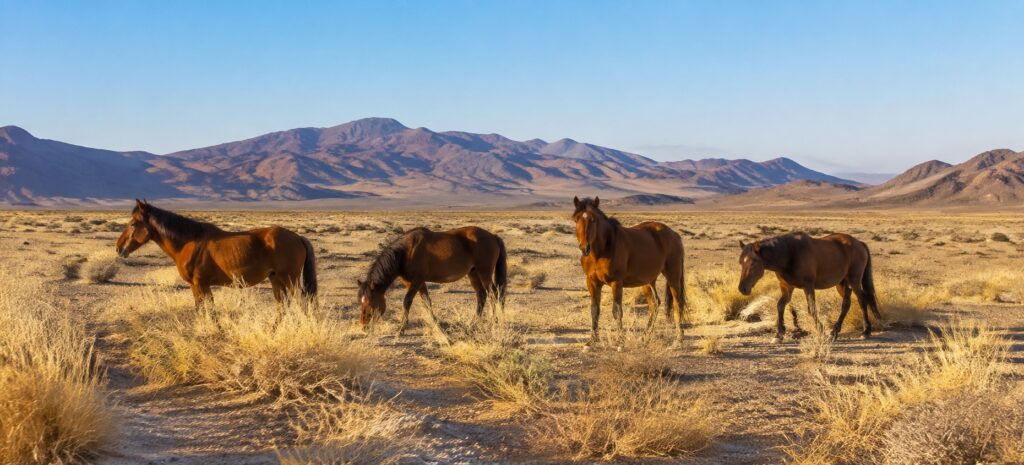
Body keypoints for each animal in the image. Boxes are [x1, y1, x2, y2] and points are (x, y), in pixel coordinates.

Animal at [115, 199, 317, 307]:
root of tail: (298, 237)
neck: (188, 242)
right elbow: (201, 309)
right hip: (276, 279)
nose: (118, 248)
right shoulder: (196, 286)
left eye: (133, 223)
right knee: (282, 307)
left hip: (289, 279)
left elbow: (209, 310)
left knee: (301, 304)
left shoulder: (201, 284)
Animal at [357, 226, 508, 336]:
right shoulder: (415, 282)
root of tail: (493, 236)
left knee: (494, 294)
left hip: (484, 273)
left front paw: (401, 329)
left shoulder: (416, 281)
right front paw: (436, 324)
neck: (406, 251)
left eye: (370, 303)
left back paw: (493, 322)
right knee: (482, 295)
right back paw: (473, 324)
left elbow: (407, 301)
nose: (363, 327)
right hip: (473, 274)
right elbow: (426, 302)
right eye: (361, 302)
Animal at [572, 196, 686, 346]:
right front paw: (593, 339)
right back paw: (646, 335)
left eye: (593, 219)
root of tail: (675, 235)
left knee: (678, 303)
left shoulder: (616, 283)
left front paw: (620, 339)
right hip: (648, 281)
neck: (601, 251)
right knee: (655, 304)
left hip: (673, 276)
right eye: (576, 219)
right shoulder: (592, 282)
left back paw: (679, 337)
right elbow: (594, 310)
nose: (584, 248)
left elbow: (617, 311)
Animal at [737, 232, 881, 343]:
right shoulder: (787, 287)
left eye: (753, 262)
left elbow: (811, 309)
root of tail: (859, 243)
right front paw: (779, 334)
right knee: (847, 304)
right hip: (842, 284)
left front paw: (821, 331)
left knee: (862, 301)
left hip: (854, 280)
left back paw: (865, 331)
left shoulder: (808, 286)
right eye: (741, 262)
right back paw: (835, 332)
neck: (790, 254)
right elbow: (780, 306)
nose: (742, 289)